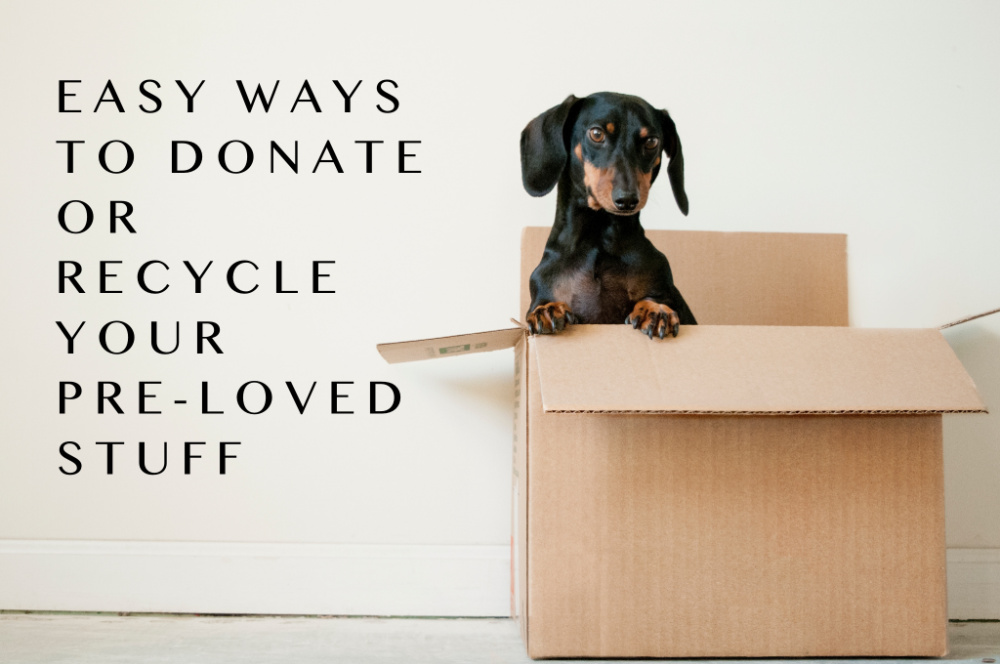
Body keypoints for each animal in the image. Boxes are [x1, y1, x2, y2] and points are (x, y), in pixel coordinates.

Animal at [524, 91, 696, 340]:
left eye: (651, 141)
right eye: (597, 133)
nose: (627, 200)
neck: (599, 240)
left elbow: (656, 298)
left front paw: (655, 310)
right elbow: (544, 303)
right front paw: (547, 309)